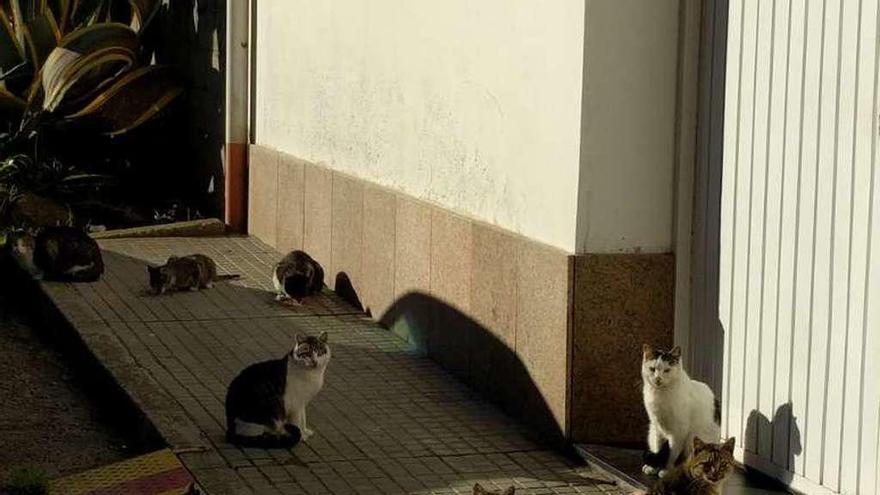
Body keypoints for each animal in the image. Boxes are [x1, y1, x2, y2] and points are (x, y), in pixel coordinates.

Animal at [644, 342, 720, 478]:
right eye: (652, 369)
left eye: (667, 370)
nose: (658, 379)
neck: (660, 394)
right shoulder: (657, 428)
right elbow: (658, 450)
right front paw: (654, 467)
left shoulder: (678, 432)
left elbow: (672, 455)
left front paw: (666, 470)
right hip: (651, 432)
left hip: (693, 439)